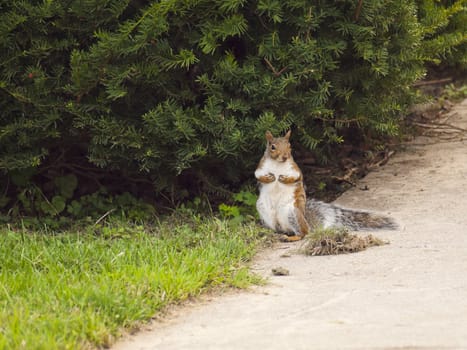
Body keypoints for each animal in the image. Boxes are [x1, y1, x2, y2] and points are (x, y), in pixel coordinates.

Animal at [254, 130, 396, 242]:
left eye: (289, 145)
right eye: (272, 147)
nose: (284, 156)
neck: (277, 164)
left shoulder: (295, 169)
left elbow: (296, 177)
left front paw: (283, 179)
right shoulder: (261, 167)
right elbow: (257, 175)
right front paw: (269, 178)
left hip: (292, 212)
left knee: (304, 233)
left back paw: (292, 237)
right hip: (264, 210)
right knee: (278, 228)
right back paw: (270, 233)